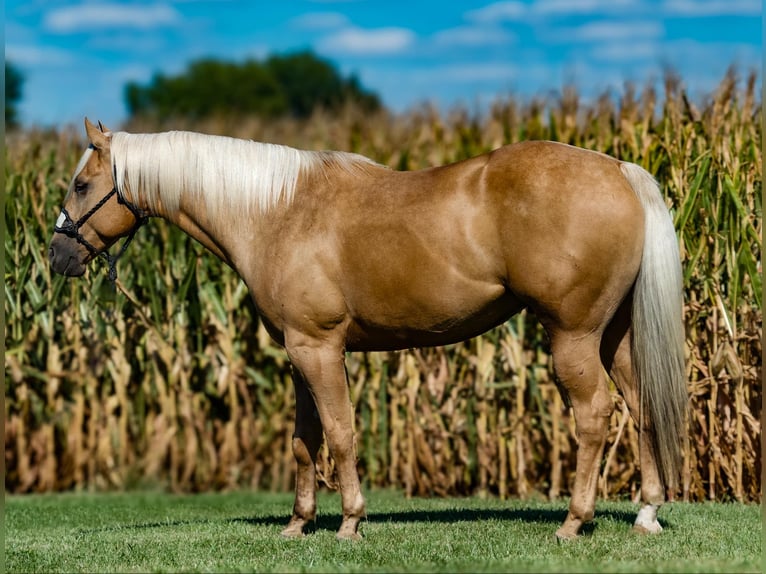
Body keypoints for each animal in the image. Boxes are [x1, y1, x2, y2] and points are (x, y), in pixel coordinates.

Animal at [52, 119, 688, 544]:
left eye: (82, 185)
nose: (58, 255)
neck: (276, 212)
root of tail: (620, 171)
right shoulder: (297, 353)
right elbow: (304, 440)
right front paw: (297, 525)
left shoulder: (319, 349)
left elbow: (340, 433)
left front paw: (350, 522)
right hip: (616, 336)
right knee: (643, 407)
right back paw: (647, 514)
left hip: (573, 337)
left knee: (595, 415)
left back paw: (573, 523)